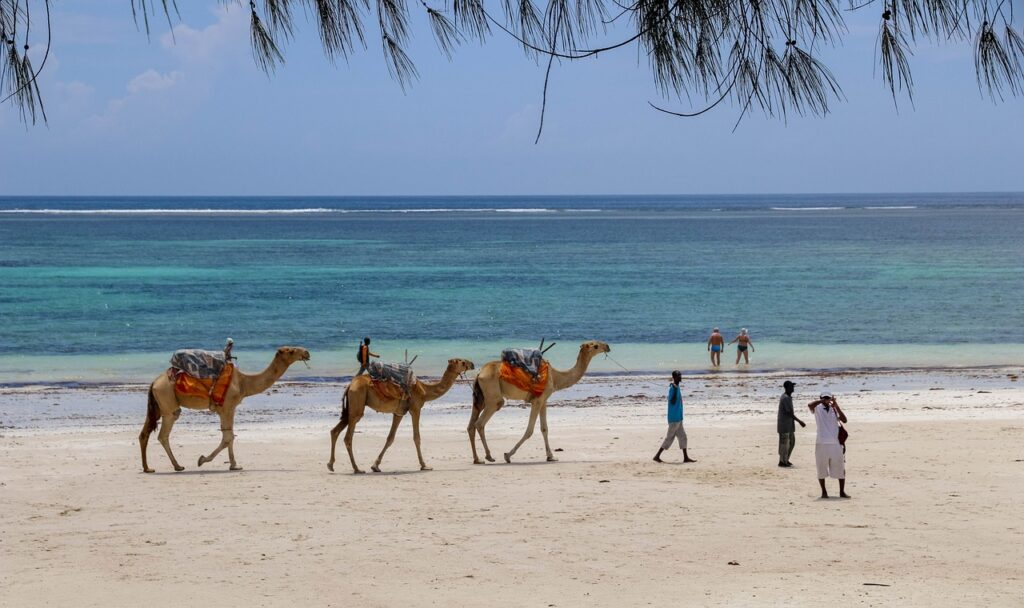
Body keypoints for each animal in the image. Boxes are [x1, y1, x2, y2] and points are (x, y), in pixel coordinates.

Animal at [138, 343, 309, 470]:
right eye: (291, 350)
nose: (307, 352)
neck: (243, 382)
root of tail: (154, 382)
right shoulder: (227, 407)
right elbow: (227, 438)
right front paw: (202, 460)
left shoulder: (228, 409)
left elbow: (230, 435)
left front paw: (234, 465)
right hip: (167, 402)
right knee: (163, 434)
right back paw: (177, 466)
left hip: (158, 405)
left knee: (145, 433)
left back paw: (148, 468)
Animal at [323, 354, 475, 472]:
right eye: (462, 362)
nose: (472, 364)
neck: (425, 391)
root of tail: (350, 385)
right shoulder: (415, 409)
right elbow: (417, 437)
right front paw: (424, 465)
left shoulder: (398, 413)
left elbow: (390, 438)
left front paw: (375, 466)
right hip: (357, 404)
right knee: (348, 437)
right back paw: (357, 469)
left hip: (351, 408)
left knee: (335, 431)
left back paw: (331, 465)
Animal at [468, 337, 610, 460]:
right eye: (595, 345)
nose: (607, 346)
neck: (556, 376)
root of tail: (479, 373)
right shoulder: (537, 401)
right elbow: (529, 430)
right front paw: (508, 455)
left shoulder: (544, 401)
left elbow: (544, 428)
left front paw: (551, 456)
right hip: (493, 396)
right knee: (480, 423)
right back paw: (489, 456)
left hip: (480, 398)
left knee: (471, 425)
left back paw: (477, 459)